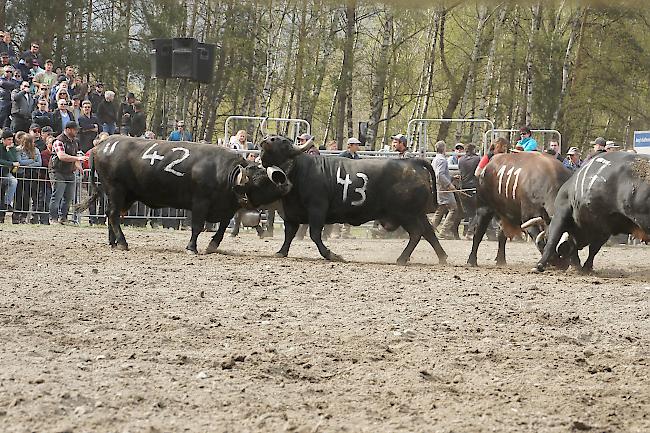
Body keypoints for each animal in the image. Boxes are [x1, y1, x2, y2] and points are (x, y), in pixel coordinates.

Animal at [76, 133, 288, 251]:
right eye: (261, 179)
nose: (285, 184)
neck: (225, 172)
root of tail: (102, 145)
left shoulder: (226, 207)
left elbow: (222, 227)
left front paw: (212, 245)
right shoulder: (200, 203)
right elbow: (197, 226)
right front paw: (192, 247)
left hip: (120, 195)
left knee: (111, 214)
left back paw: (113, 242)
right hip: (116, 189)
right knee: (113, 215)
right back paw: (122, 242)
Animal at [246, 134, 448, 264]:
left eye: (284, 143)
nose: (267, 139)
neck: (299, 170)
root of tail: (412, 162)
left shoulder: (317, 209)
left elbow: (315, 234)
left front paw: (331, 255)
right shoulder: (291, 213)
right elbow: (289, 234)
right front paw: (281, 252)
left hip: (407, 214)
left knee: (417, 233)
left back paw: (402, 258)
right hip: (417, 214)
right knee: (428, 232)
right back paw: (442, 258)